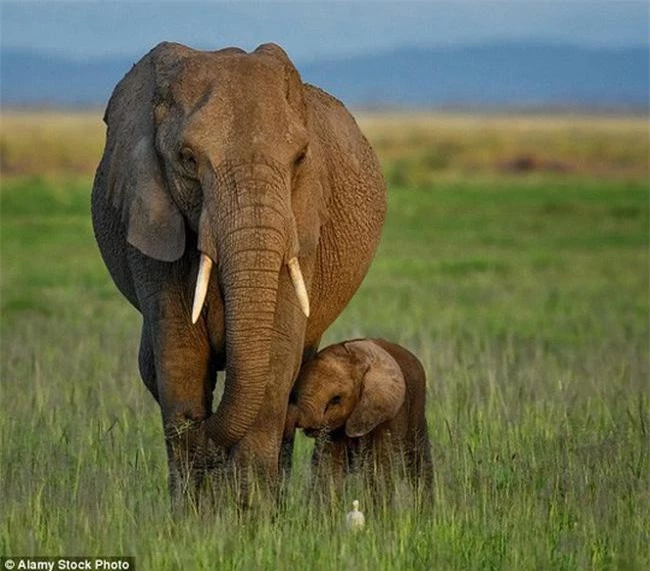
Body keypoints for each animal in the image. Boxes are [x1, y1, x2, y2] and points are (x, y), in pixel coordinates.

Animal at [92, 42, 384, 502]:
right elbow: (179, 357)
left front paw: (249, 510)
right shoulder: (149, 218)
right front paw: (195, 509)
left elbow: (276, 359)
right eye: (187, 159)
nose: (206, 437)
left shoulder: (301, 224)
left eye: (300, 158)